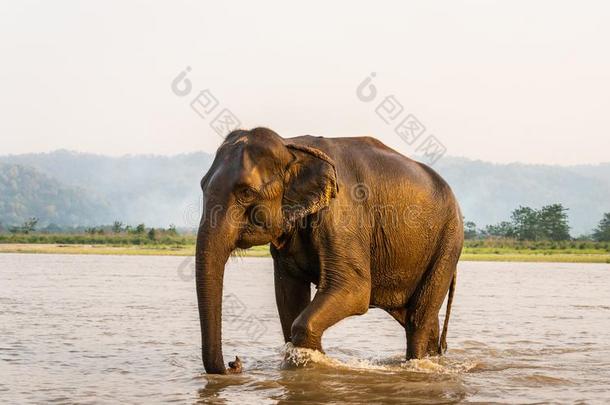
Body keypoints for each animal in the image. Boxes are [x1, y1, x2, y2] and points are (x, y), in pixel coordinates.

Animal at [195, 126, 460, 372]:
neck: (290, 146)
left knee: (418, 320)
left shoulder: (342, 214)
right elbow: (289, 297)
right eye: (202, 185)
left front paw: (314, 362)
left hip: (448, 243)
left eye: (246, 192)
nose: (234, 363)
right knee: (423, 321)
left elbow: (353, 290)